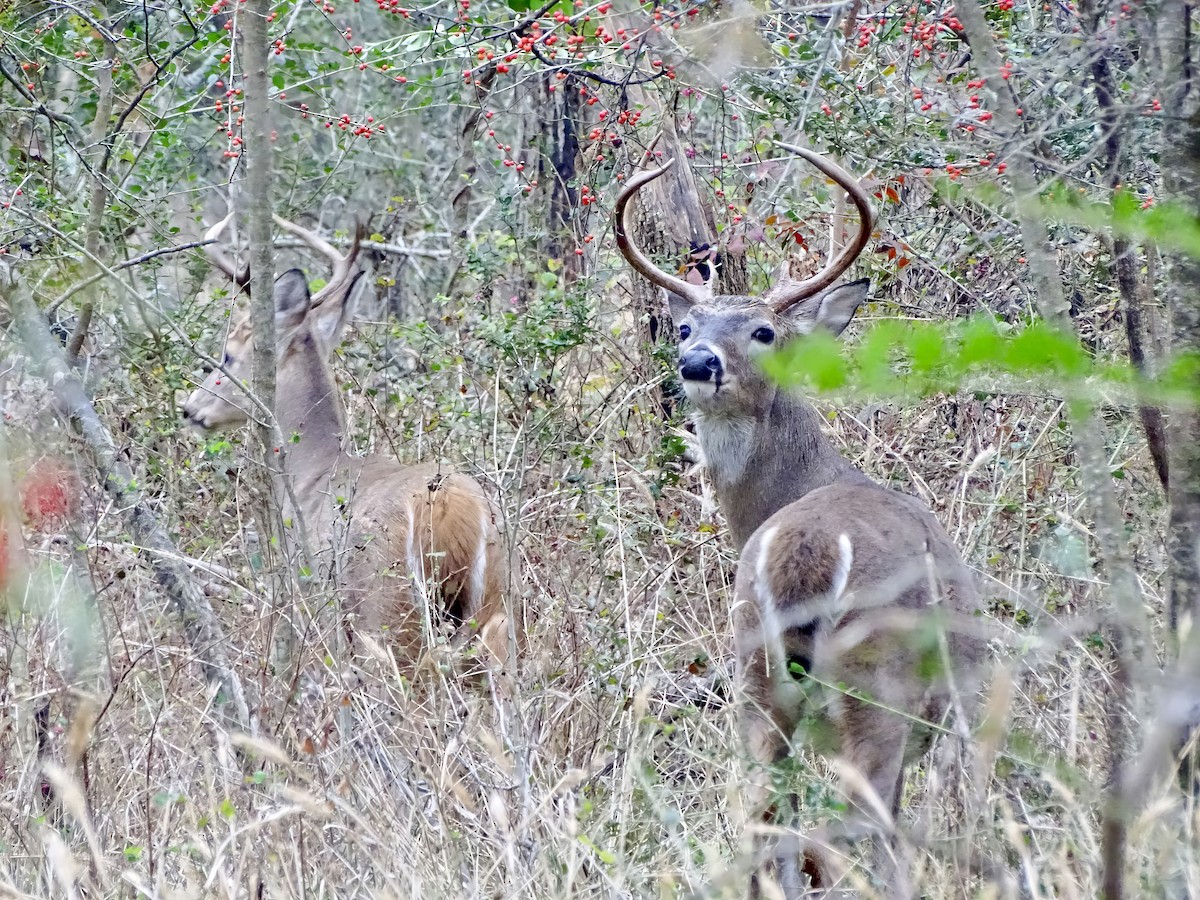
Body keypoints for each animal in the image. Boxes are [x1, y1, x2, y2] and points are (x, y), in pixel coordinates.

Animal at [181, 213, 512, 676]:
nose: (190, 409)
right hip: (494, 608)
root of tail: (455, 513)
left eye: (227, 356)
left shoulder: (316, 591)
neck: (314, 469)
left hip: (386, 608)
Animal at [615, 147, 984, 896]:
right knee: (849, 831)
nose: (696, 361)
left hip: (756, 675)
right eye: (685, 327)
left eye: (763, 331)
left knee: (761, 817)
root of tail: (804, 556)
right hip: (875, 687)